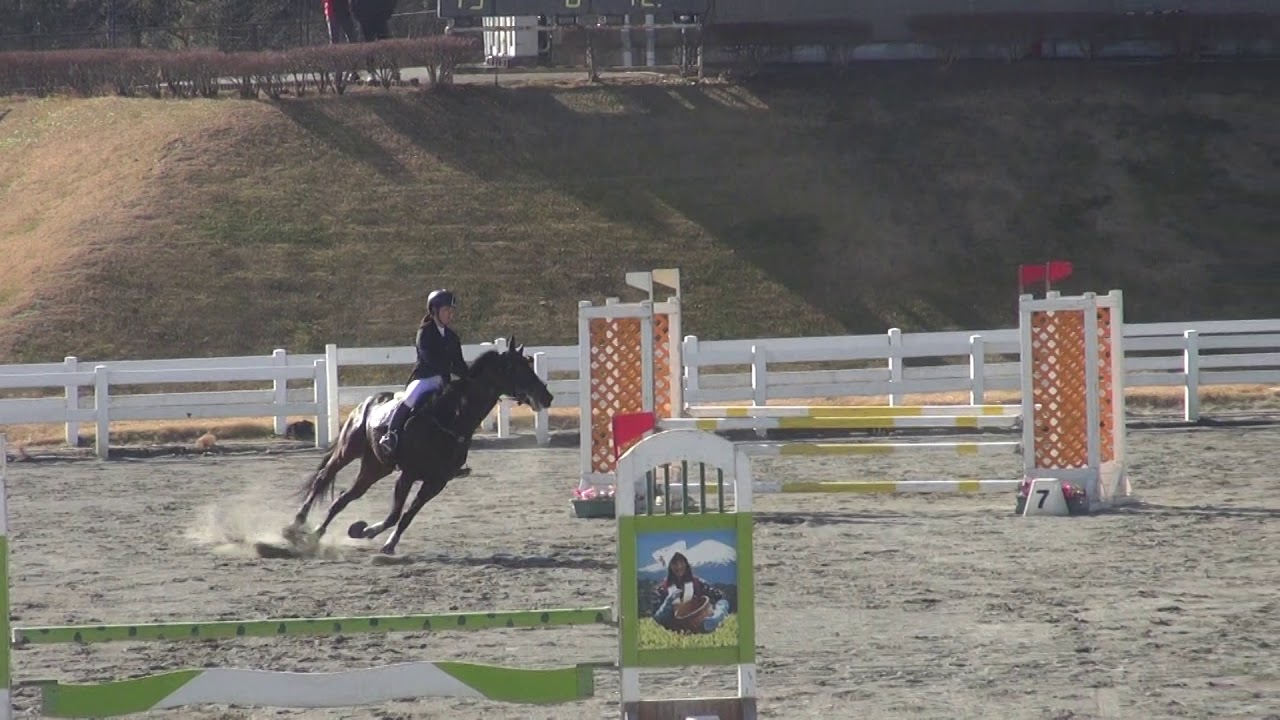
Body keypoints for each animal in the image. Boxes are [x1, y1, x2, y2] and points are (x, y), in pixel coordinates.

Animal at [280, 338, 550, 556]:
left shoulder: (436, 482)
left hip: (376, 466)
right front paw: (365, 531)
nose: (547, 397)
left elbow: (406, 516)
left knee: (344, 498)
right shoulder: (408, 475)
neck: (451, 418)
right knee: (322, 480)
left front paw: (376, 538)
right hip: (348, 451)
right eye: (515, 368)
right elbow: (394, 514)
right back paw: (295, 526)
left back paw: (314, 536)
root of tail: (368, 401)